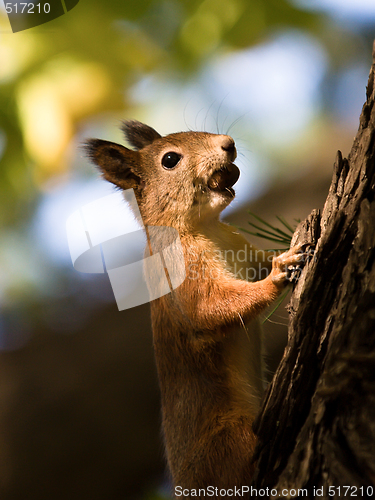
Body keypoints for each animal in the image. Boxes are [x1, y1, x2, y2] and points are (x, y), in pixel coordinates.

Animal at [86, 120, 310, 496]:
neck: (203, 227)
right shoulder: (183, 273)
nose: (228, 144)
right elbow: (211, 308)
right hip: (227, 438)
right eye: (170, 160)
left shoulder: (242, 250)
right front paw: (280, 273)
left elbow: (256, 267)